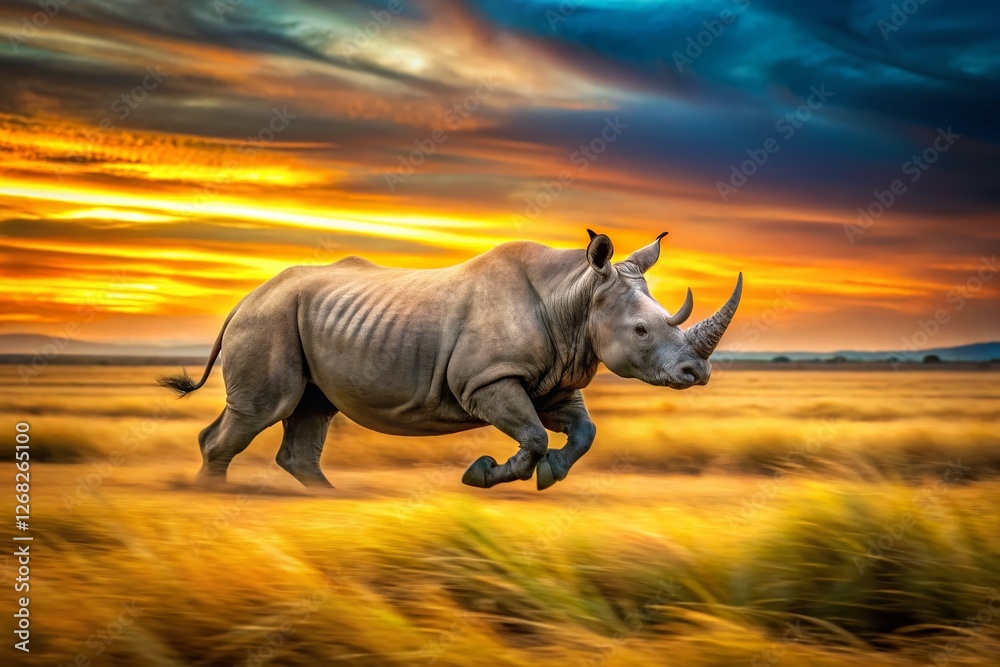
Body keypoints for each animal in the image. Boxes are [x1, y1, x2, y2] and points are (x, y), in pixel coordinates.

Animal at [158, 230, 742, 490]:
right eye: (641, 331)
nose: (697, 373)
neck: (574, 297)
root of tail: (246, 297)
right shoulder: (486, 379)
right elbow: (532, 435)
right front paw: (481, 474)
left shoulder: (553, 380)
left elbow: (583, 431)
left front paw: (550, 474)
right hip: (270, 319)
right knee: (265, 408)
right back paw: (212, 497)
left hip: (299, 318)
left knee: (311, 408)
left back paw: (326, 500)